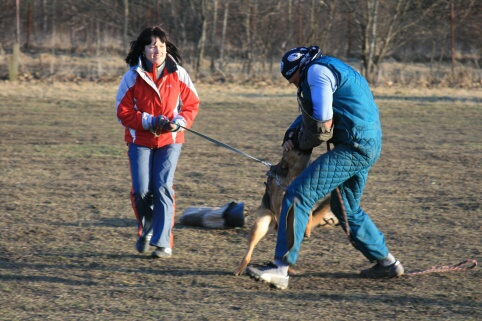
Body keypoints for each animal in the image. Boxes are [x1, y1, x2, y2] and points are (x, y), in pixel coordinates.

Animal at [234, 148, 338, 276]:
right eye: (295, 150)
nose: (308, 149)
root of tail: (273, 227)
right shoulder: (281, 205)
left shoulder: (305, 201)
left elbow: (310, 215)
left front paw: (307, 229)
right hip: (260, 226)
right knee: (249, 253)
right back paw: (240, 268)